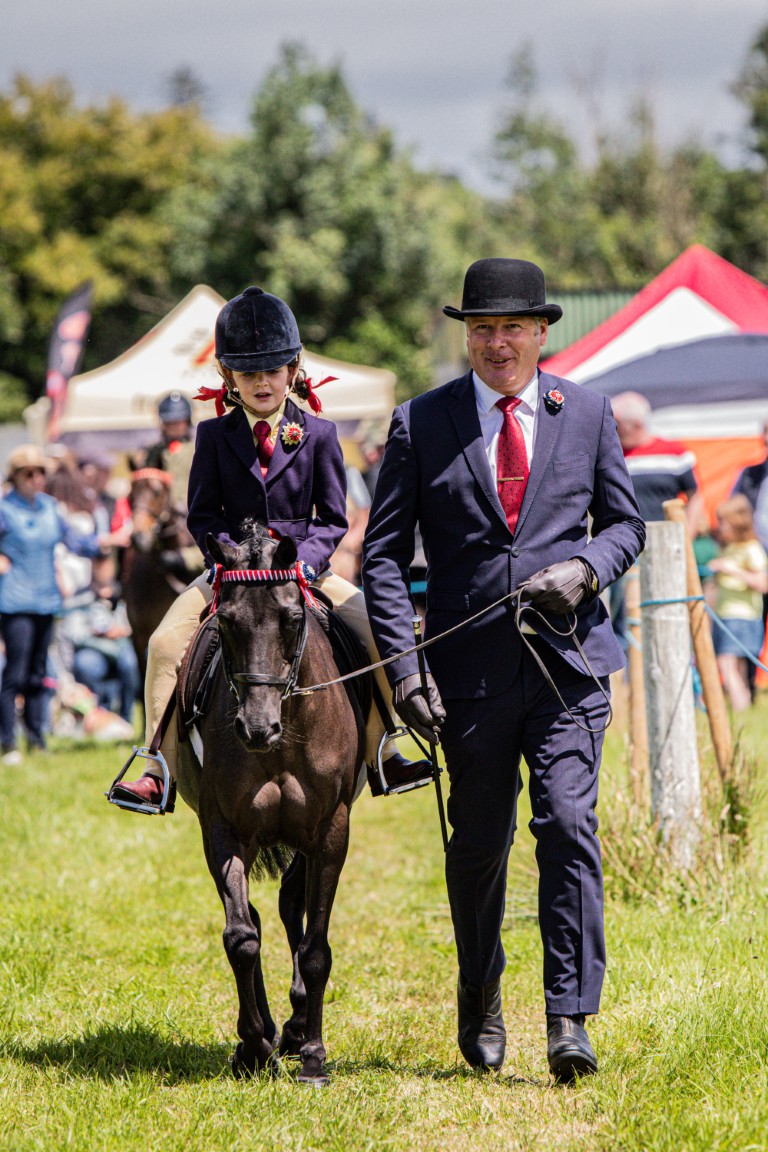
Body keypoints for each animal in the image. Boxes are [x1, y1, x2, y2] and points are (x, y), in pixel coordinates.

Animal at [174, 519, 365, 1085]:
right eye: (227, 622)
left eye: (292, 619)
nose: (257, 730)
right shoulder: (223, 829)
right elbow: (241, 937)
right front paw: (254, 1045)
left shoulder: (330, 831)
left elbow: (316, 946)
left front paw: (314, 1054)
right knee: (260, 919)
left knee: (290, 908)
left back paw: (299, 1028)